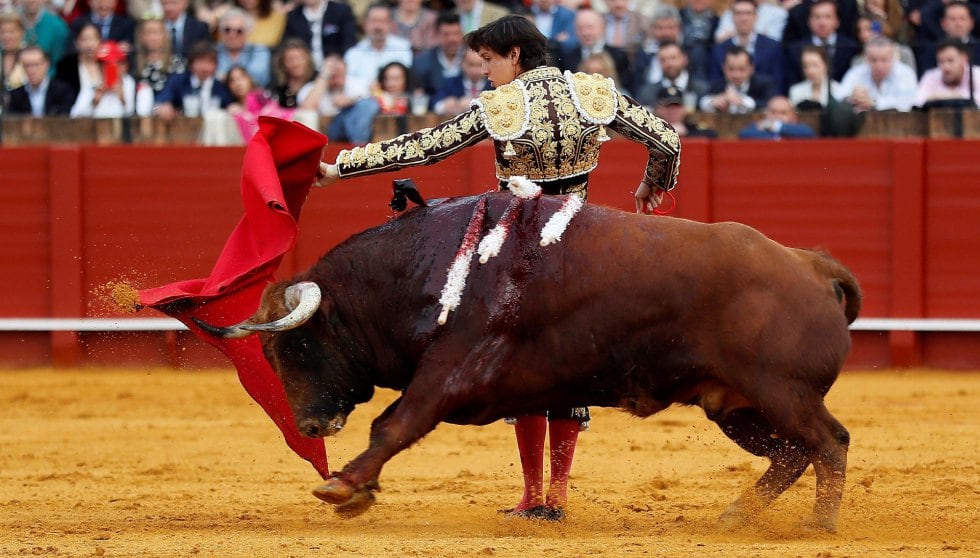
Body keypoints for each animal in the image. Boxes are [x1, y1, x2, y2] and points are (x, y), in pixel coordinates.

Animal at [197, 194, 856, 532]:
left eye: (297, 346)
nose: (308, 426)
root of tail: (811, 263)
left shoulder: (450, 370)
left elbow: (394, 423)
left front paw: (345, 485)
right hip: (734, 405)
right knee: (792, 454)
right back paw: (734, 515)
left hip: (780, 392)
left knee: (829, 442)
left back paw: (818, 526)